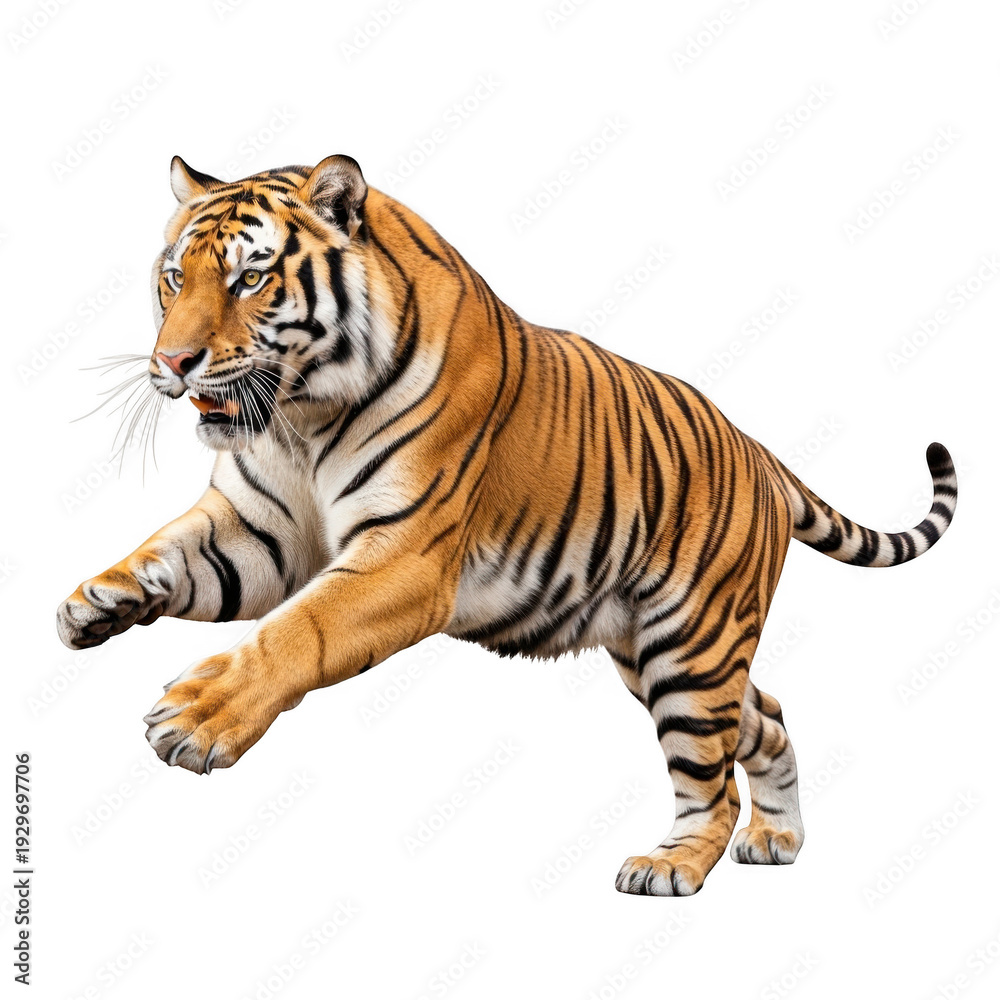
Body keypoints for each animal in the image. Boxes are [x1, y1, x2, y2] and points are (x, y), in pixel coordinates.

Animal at [56, 154, 957, 896]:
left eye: (249, 280)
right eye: (175, 278)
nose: (172, 364)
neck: (299, 416)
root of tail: (760, 451)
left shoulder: (406, 556)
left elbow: (296, 630)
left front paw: (195, 718)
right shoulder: (260, 532)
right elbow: (170, 552)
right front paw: (95, 602)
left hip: (691, 647)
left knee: (712, 778)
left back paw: (671, 865)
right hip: (654, 650)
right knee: (763, 716)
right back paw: (779, 840)